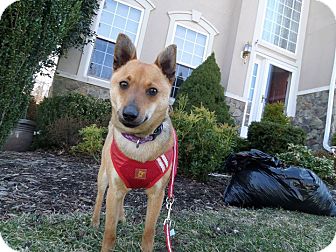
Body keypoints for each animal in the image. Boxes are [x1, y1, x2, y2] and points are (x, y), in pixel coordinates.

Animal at [90, 34, 177, 252]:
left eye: (153, 91)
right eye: (123, 84)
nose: (128, 114)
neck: (139, 140)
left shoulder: (157, 196)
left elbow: (148, 233)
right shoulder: (114, 189)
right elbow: (109, 233)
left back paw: (121, 217)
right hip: (104, 177)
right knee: (99, 197)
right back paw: (94, 221)